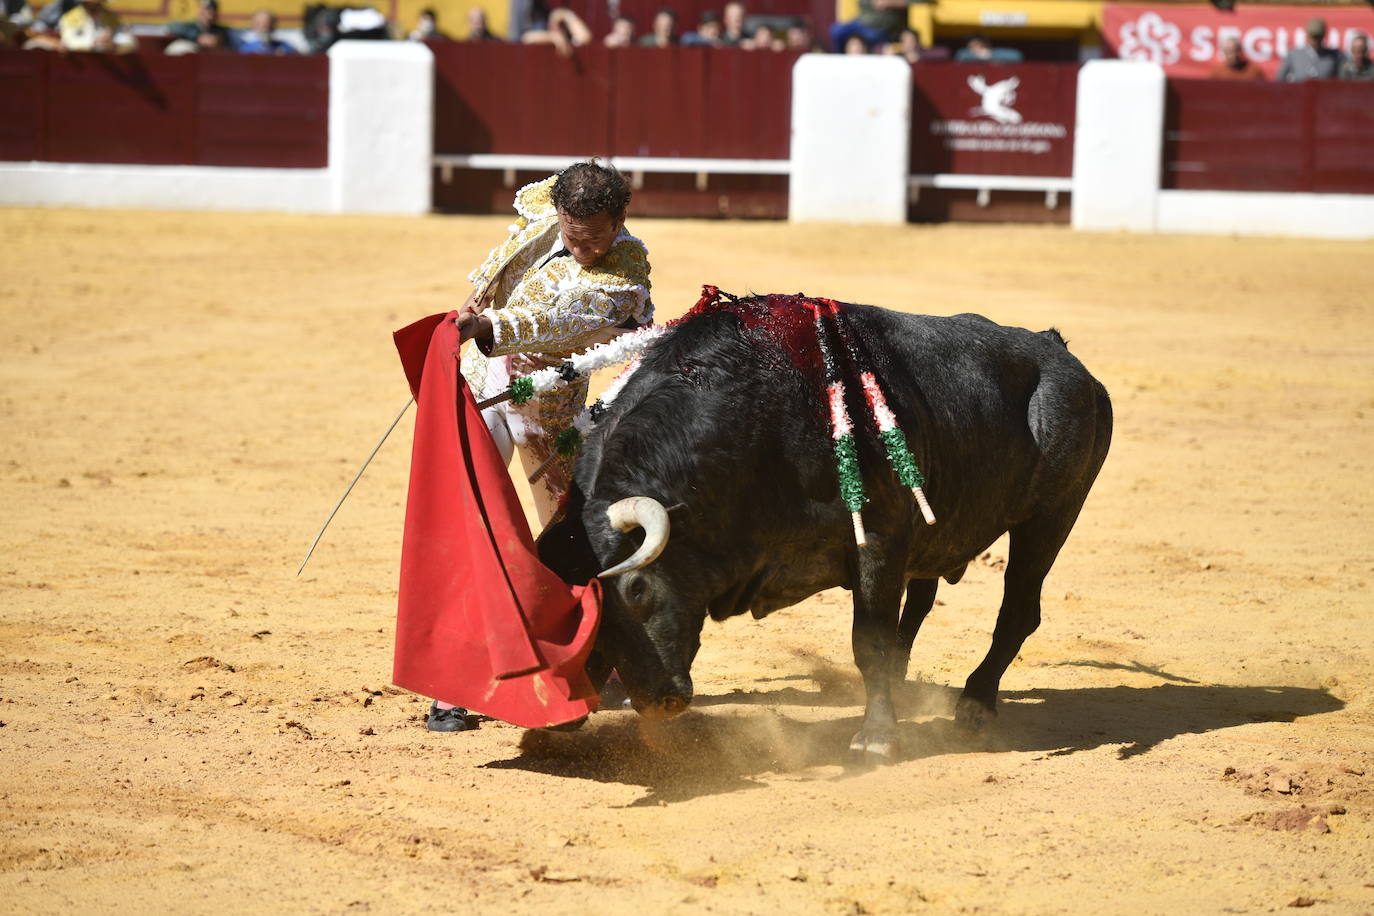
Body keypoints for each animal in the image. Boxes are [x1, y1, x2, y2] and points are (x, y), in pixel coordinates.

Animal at [530, 299, 1110, 758]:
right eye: (581, 608)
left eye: (637, 589)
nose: (658, 701)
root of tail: (1056, 350)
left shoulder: (877, 541)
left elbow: (869, 641)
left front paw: (876, 738)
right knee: (923, 599)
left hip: (1051, 517)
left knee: (1018, 608)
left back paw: (975, 704)